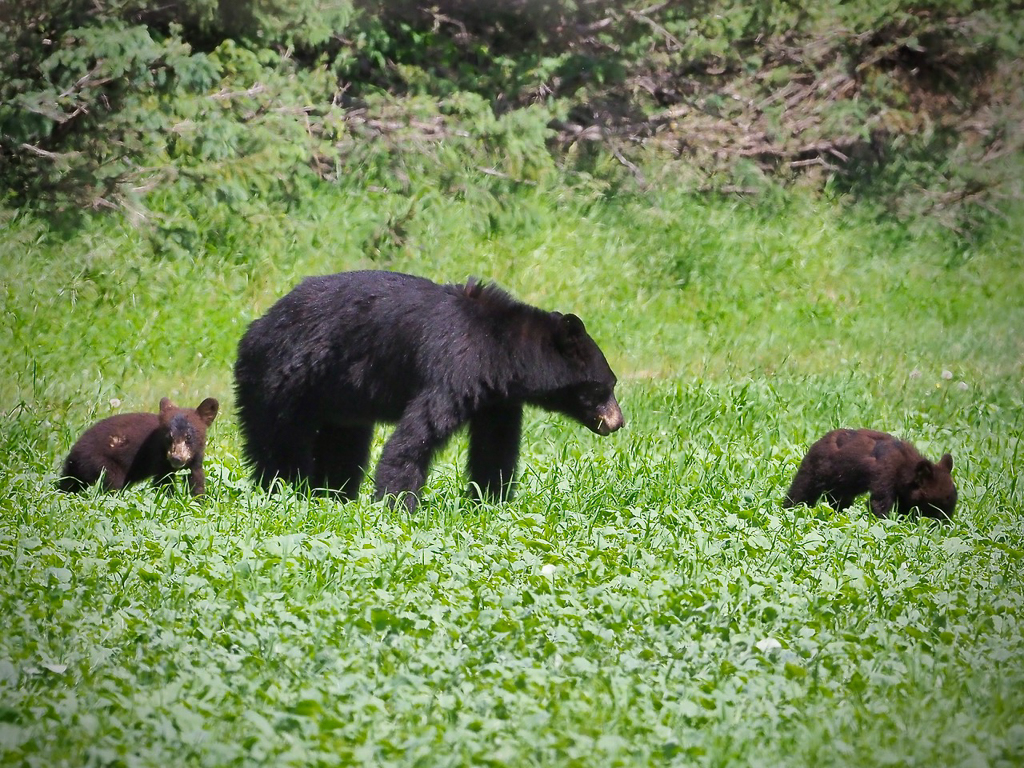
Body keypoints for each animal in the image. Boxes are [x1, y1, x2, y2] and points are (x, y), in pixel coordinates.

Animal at [58, 397, 219, 496]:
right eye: (169, 437)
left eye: (188, 437)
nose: (177, 458)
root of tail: (74, 454)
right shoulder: (159, 458)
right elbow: (163, 482)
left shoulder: (195, 460)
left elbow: (196, 479)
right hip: (102, 463)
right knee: (111, 483)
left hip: (74, 472)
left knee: (68, 483)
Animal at [233, 270, 624, 511]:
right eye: (606, 386)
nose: (617, 422)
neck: (499, 348)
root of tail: (254, 327)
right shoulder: (454, 366)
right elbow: (416, 436)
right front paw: (397, 503)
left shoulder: (496, 398)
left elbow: (495, 447)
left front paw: (490, 500)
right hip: (281, 379)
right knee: (279, 442)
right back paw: (284, 488)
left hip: (339, 403)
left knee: (344, 446)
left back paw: (334, 494)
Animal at [783, 428, 957, 519]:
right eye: (939, 506)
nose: (947, 525)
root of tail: (818, 441)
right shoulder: (885, 472)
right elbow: (879, 502)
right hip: (816, 469)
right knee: (802, 489)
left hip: (842, 482)